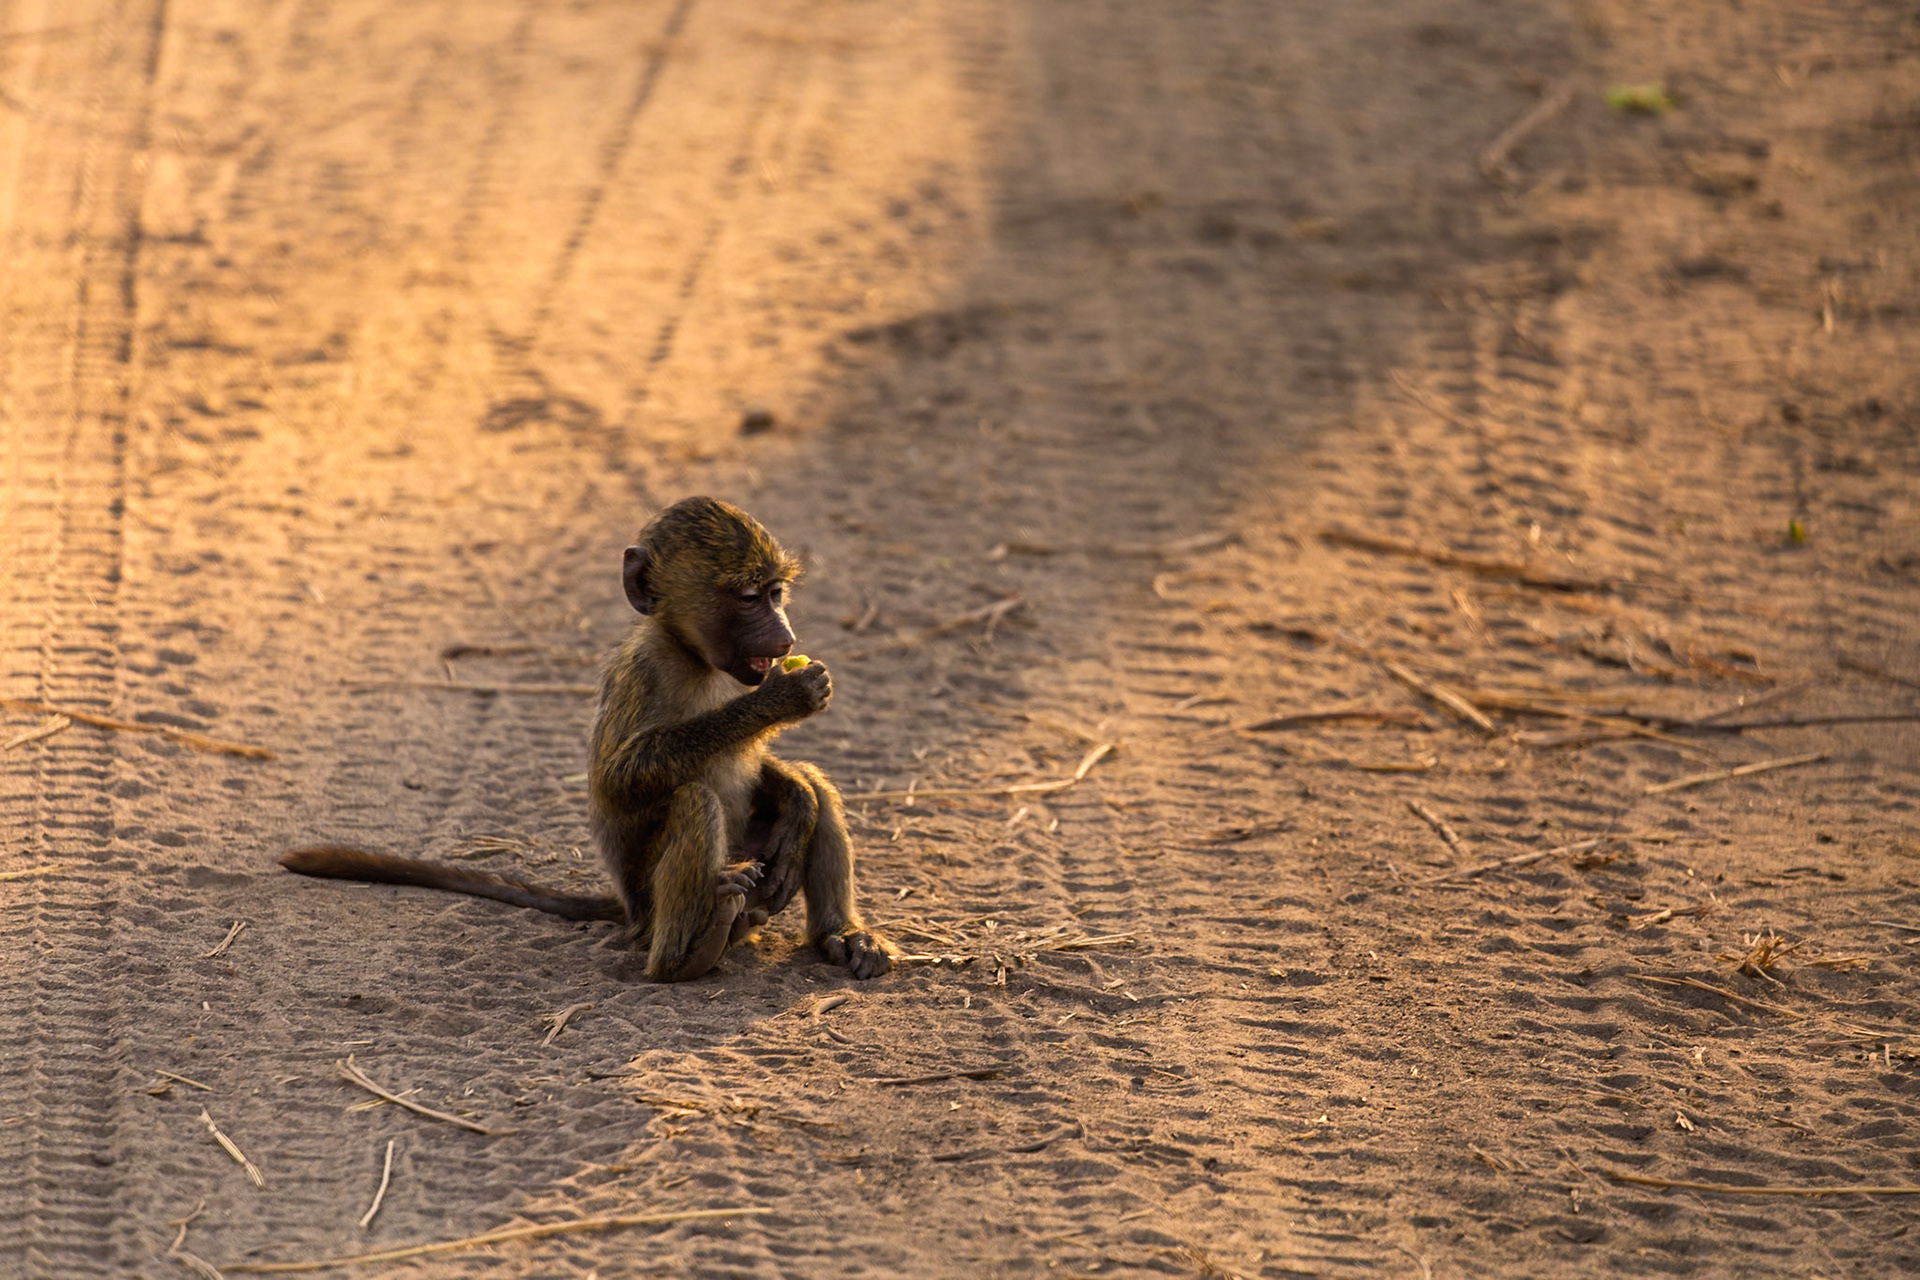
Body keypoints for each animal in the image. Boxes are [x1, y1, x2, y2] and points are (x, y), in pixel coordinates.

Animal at [282, 496, 898, 983]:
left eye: (775, 592)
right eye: (747, 596)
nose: (785, 636)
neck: (691, 655)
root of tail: (631, 909)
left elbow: (791, 785)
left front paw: (795, 797)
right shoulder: (641, 673)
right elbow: (618, 780)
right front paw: (783, 699)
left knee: (816, 790)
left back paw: (841, 934)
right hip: (654, 901)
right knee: (694, 801)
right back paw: (685, 958)